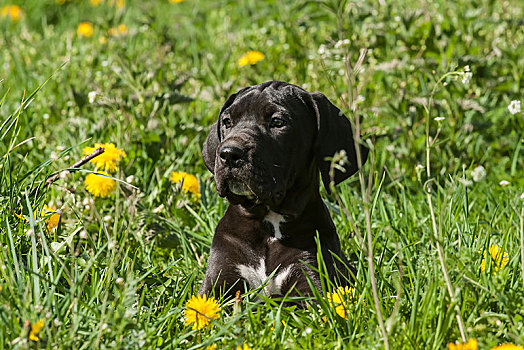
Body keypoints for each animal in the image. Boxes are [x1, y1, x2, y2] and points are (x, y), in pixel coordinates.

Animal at [199, 80, 366, 300]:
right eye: (227, 121)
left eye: (278, 122)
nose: (229, 154)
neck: (269, 222)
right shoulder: (217, 282)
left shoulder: (309, 281)